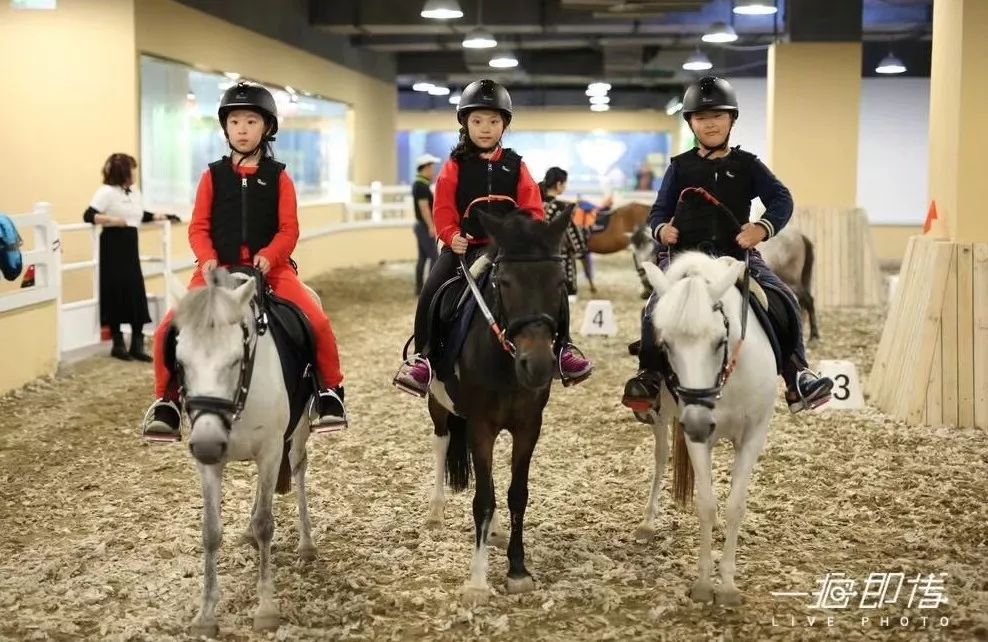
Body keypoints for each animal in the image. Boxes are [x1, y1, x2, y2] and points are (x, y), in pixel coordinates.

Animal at [170, 268, 318, 636]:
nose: (208, 444)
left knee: (298, 468)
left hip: (298, 433)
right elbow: (210, 531)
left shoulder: (270, 451)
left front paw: (265, 608)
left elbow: (266, 523)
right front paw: (206, 614)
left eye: (236, 360)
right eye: (180, 362)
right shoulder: (208, 463)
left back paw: (306, 544)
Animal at [424, 208, 571, 605]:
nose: (538, 366)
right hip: (438, 404)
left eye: (559, 283)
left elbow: (516, 495)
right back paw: (435, 513)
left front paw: (518, 570)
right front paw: (477, 581)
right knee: (441, 443)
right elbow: (483, 500)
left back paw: (495, 530)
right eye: (503, 283)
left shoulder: (528, 426)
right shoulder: (480, 427)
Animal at [634, 253, 777, 606]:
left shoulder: (753, 436)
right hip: (662, 415)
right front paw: (702, 583)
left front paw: (727, 586)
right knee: (661, 457)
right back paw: (647, 522)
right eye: (665, 344)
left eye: (720, 341)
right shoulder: (695, 437)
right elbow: (707, 505)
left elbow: (735, 506)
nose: (699, 422)